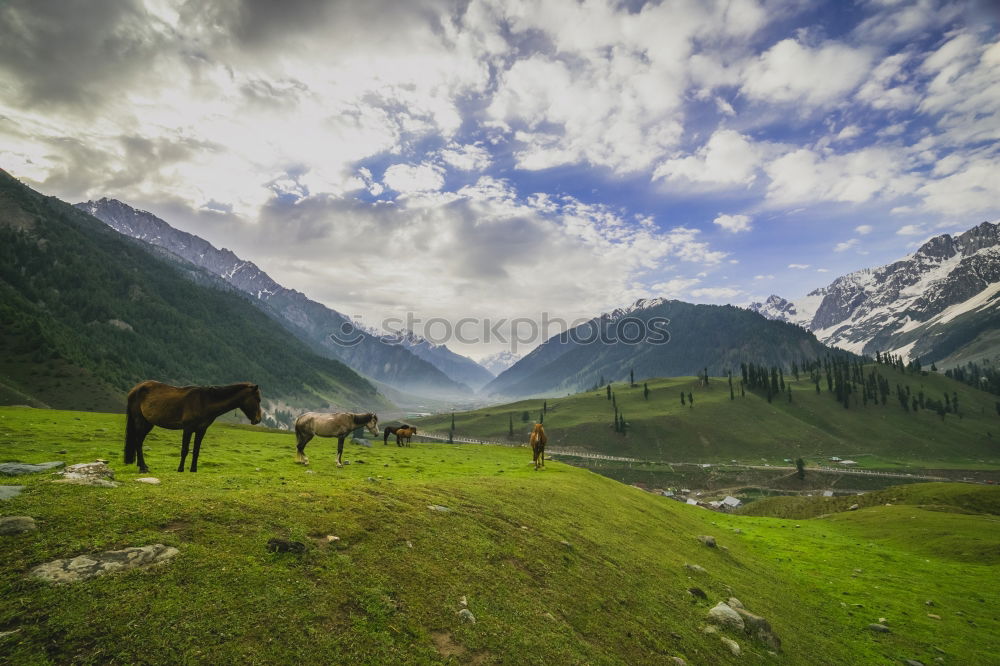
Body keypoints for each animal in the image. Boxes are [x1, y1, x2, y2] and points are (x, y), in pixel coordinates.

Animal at [124, 378, 262, 472]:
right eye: (258, 399)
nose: (258, 420)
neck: (204, 402)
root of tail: (134, 389)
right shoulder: (188, 428)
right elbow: (185, 450)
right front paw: (180, 469)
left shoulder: (201, 430)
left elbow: (196, 450)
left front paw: (193, 469)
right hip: (140, 421)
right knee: (138, 441)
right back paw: (143, 467)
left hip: (148, 423)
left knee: (139, 441)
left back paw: (142, 465)